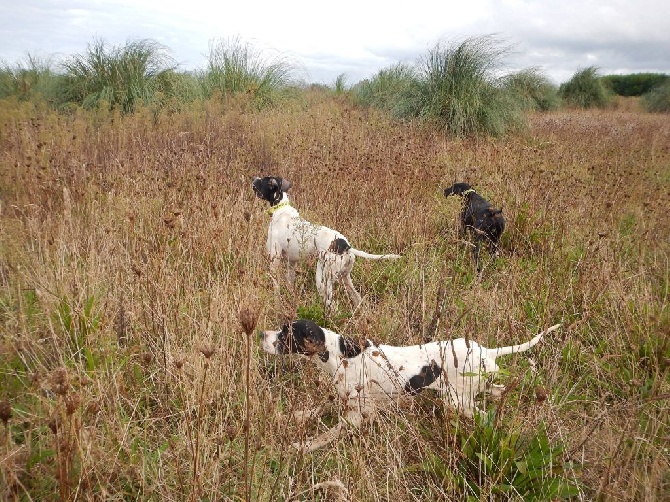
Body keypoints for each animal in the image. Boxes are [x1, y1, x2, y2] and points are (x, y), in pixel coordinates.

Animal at [251, 176, 400, 310]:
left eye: (263, 180)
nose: (254, 178)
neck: (280, 208)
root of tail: (346, 246)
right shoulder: (291, 263)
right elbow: (290, 284)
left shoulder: (274, 259)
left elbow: (276, 286)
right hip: (345, 278)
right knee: (357, 298)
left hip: (323, 280)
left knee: (333, 306)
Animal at [262, 320, 560, 452]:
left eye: (286, 334)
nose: (262, 334)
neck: (341, 355)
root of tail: (487, 350)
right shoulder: (344, 397)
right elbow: (320, 406)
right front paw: (297, 415)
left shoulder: (357, 415)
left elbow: (326, 434)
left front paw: (303, 446)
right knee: (497, 393)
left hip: (458, 401)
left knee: (485, 415)